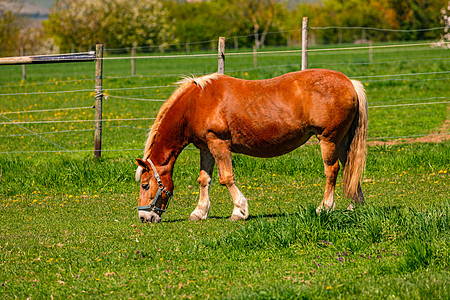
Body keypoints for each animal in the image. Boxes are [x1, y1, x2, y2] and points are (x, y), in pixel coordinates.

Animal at [135, 68, 368, 223]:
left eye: (145, 185)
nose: (144, 216)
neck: (195, 103)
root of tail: (349, 82)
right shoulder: (206, 147)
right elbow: (204, 180)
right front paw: (199, 212)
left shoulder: (218, 143)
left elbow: (226, 178)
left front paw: (239, 211)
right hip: (343, 141)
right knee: (350, 169)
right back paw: (355, 205)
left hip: (328, 139)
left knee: (332, 171)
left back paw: (325, 207)